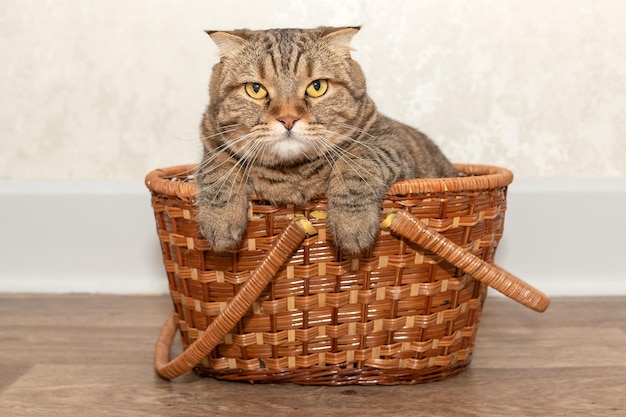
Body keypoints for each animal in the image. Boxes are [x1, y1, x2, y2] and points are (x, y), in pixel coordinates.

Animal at [197, 26, 456, 254]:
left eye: (317, 86)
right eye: (255, 89)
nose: (288, 119)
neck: (293, 173)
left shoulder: (389, 141)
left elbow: (358, 165)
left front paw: (352, 222)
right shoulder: (210, 142)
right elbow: (217, 171)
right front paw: (219, 218)